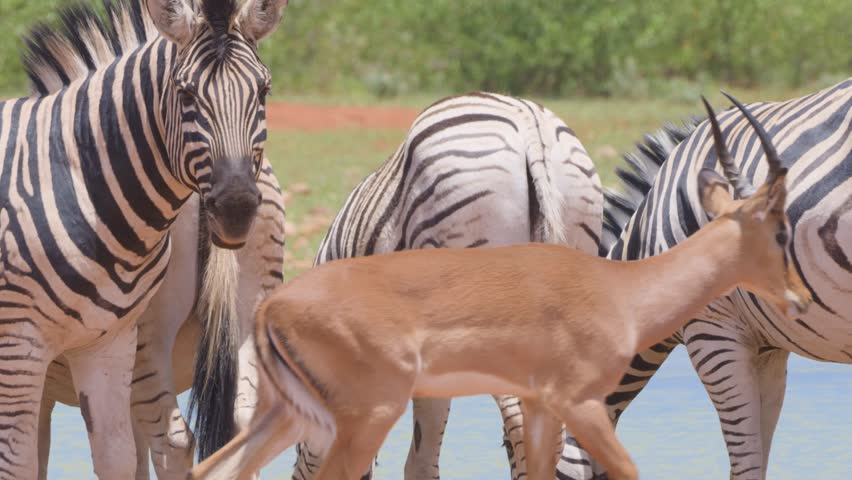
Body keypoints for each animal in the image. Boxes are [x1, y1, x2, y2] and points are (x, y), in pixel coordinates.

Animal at [0, 0, 288, 477]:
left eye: (262, 92)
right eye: (186, 95)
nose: (234, 208)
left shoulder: (33, 352)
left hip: (147, 340)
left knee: (173, 440)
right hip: (254, 300)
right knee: (247, 423)